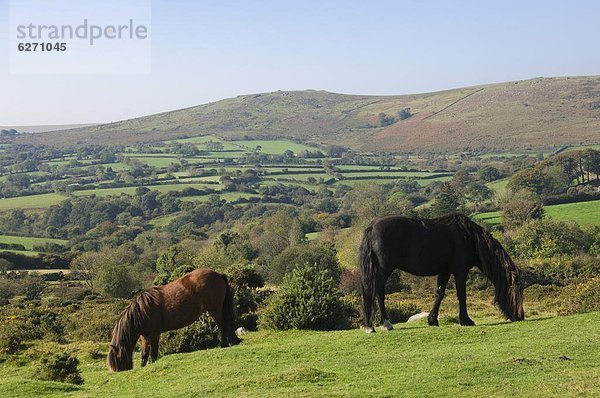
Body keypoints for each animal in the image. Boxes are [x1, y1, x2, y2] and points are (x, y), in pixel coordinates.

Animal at [106, 268, 240, 372]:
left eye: (117, 359)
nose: (120, 371)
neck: (141, 311)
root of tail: (218, 274)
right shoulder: (144, 335)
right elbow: (144, 353)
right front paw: (143, 366)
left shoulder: (155, 334)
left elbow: (153, 353)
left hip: (215, 309)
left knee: (222, 325)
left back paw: (224, 344)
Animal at [358, 213, 524, 332]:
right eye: (517, 290)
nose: (520, 316)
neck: (469, 237)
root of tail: (372, 227)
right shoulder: (460, 270)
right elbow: (461, 295)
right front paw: (466, 320)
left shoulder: (445, 271)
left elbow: (439, 294)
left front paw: (432, 320)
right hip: (383, 270)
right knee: (378, 293)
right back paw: (385, 324)